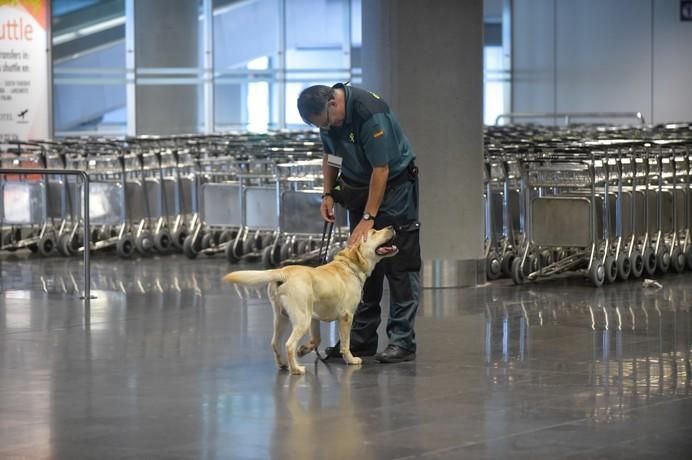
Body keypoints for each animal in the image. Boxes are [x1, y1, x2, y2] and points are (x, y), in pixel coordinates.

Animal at [224, 226, 398, 374]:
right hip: (302, 319)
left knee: (275, 342)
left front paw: (304, 350)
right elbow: (345, 343)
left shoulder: (315, 318)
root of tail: (283, 272)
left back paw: (283, 364)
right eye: (374, 231)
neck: (349, 267)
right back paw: (296, 369)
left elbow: (317, 340)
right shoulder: (346, 317)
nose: (391, 227)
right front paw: (351, 359)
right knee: (289, 345)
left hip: (282, 317)